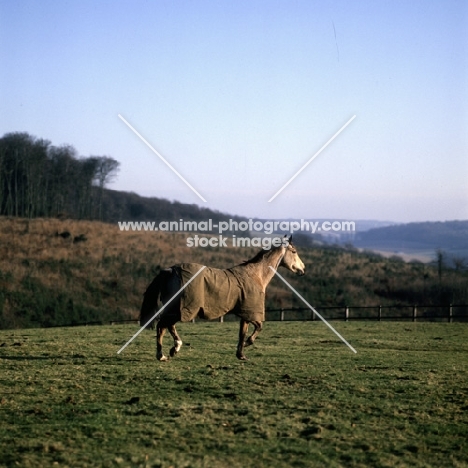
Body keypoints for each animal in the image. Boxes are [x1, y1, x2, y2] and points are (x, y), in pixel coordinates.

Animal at [139, 236, 308, 360]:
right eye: (294, 251)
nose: (303, 269)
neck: (255, 275)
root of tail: (170, 270)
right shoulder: (251, 312)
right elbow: (258, 328)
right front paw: (248, 344)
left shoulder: (245, 313)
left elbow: (242, 333)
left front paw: (241, 354)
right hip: (181, 309)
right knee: (162, 326)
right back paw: (164, 354)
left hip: (175, 308)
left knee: (167, 326)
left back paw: (172, 350)